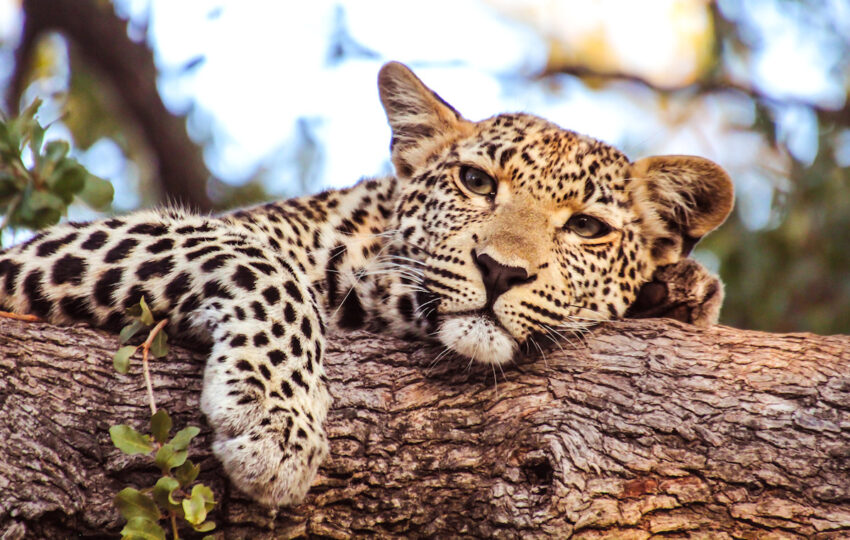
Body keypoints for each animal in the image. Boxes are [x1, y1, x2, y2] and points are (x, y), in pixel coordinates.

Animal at [0, 62, 728, 506]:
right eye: (476, 182)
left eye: (585, 227)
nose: (500, 270)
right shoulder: (36, 253)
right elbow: (257, 263)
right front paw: (275, 422)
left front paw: (680, 289)